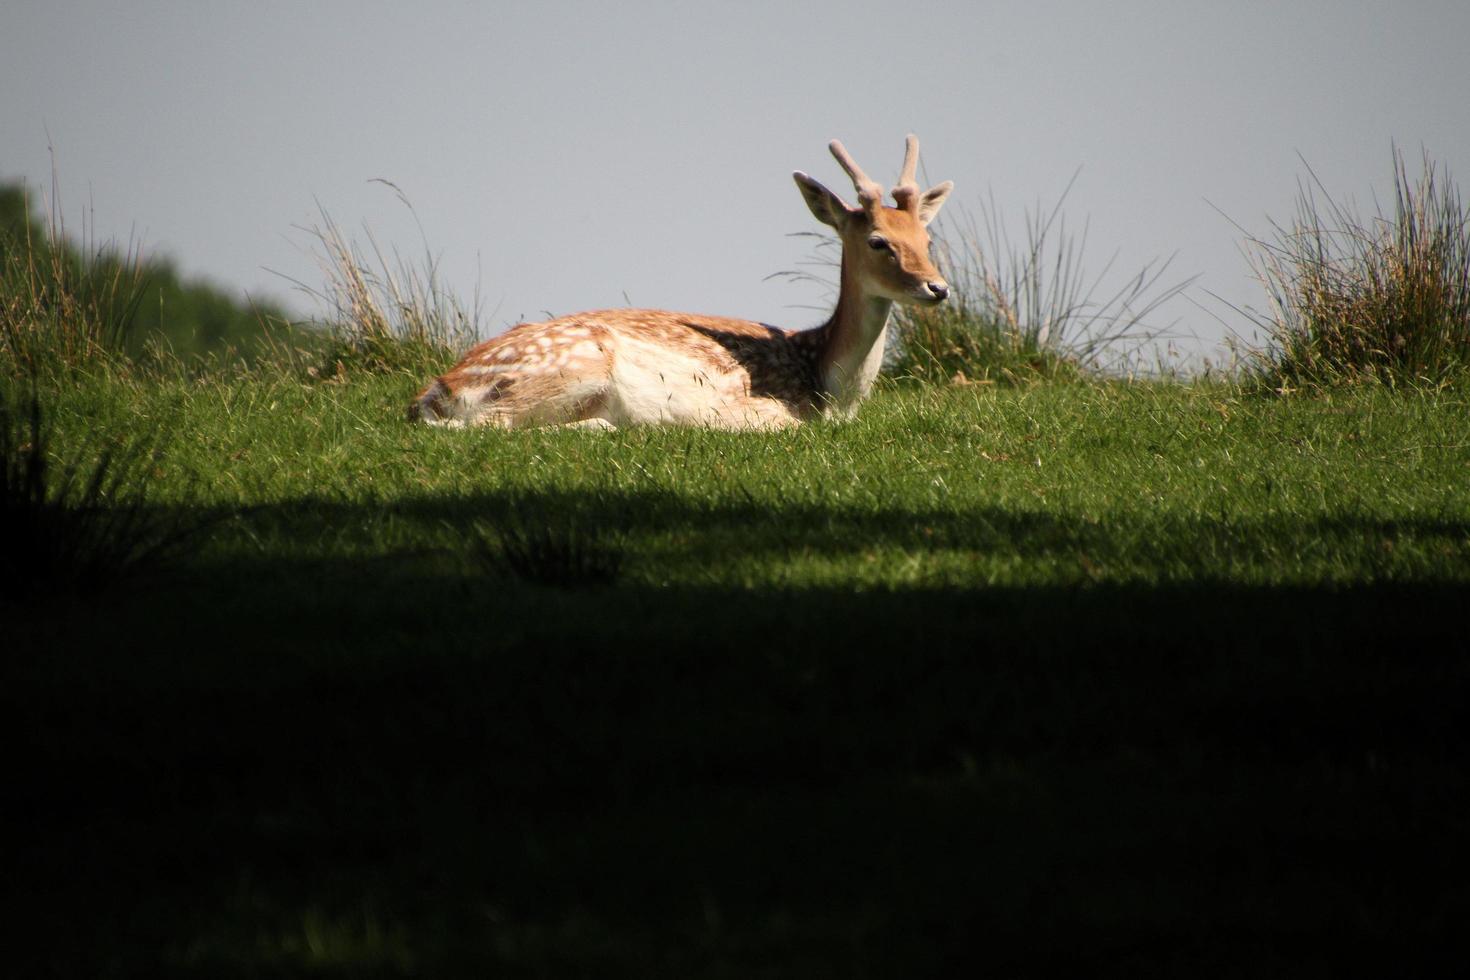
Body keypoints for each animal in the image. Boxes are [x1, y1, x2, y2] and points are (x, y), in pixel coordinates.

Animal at [408, 135, 952, 429]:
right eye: (878, 241)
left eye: (926, 236)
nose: (938, 288)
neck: (830, 393)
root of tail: (434, 393)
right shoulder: (757, 407)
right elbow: (774, 423)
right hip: (569, 369)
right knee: (489, 424)